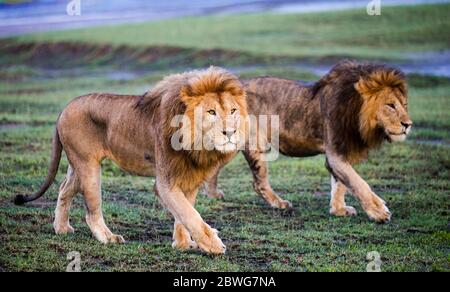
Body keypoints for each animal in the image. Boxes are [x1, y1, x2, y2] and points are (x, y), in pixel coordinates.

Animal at [14, 66, 246, 253]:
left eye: (233, 110)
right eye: (211, 112)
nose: (230, 132)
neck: (197, 144)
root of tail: (65, 108)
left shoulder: (189, 176)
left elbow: (184, 213)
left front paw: (182, 244)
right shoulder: (165, 182)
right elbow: (190, 214)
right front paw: (214, 245)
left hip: (77, 163)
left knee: (64, 188)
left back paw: (61, 228)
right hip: (88, 166)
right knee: (92, 210)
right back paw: (108, 238)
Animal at [207, 60, 412, 222]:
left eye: (404, 105)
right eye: (390, 105)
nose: (408, 124)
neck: (356, 114)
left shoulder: (340, 152)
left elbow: (340, 184)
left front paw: (338, 210)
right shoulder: (336, 151)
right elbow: (358, 183)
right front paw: (379, 212)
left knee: (214, 167)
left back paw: (213, 194)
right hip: (256, 145)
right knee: (258, 183)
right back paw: (279, 204)